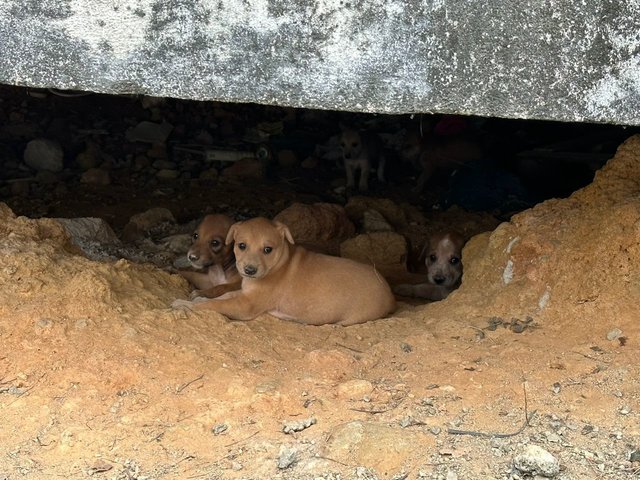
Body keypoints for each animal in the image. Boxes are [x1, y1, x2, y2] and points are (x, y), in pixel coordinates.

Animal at [172, 218, 398, 326]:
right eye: (241, 245)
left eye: (268, 249)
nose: (250, 270)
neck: (279, 263)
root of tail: (390, 293)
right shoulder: (245, 294)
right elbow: (223, 295)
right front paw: (197, 298)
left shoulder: (246, 305)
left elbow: (213, 305)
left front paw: (185, 304)